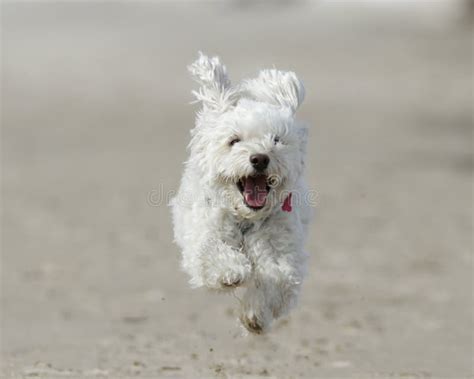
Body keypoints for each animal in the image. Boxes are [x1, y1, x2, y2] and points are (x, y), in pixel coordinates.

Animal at [170, 52, 312, 334]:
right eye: (234, 140)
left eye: (276, 139)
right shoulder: (203, 234)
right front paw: (232, 270)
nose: (259, 158)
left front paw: (255, 312)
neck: (246, 220)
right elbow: (211, 251)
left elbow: (276, 278)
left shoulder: (282, 252)